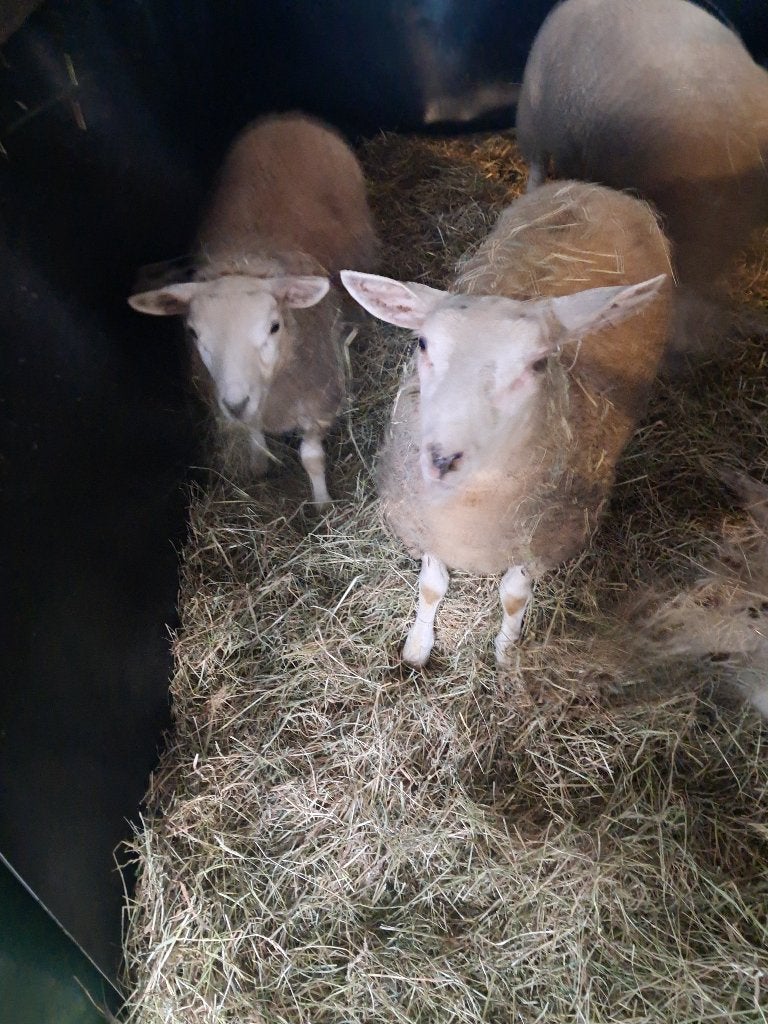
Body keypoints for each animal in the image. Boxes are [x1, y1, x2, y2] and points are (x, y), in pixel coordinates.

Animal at [128, 112, 379, 506]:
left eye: (274, 326)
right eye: (193, 333)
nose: (235, 403)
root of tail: (287, 118)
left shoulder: (319, 401)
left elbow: (311, 457)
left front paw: (322, 502)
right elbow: (253, 435)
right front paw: (259, 463)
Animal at [342, 181, 672, 666]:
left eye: (538, 363)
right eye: (422, 343)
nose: (441, 460)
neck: (470, 511)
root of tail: (599, 189)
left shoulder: (539, 543)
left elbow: (514, 596)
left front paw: (506, 650)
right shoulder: (428, 528)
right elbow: (431, 587)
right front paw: (418, 647)